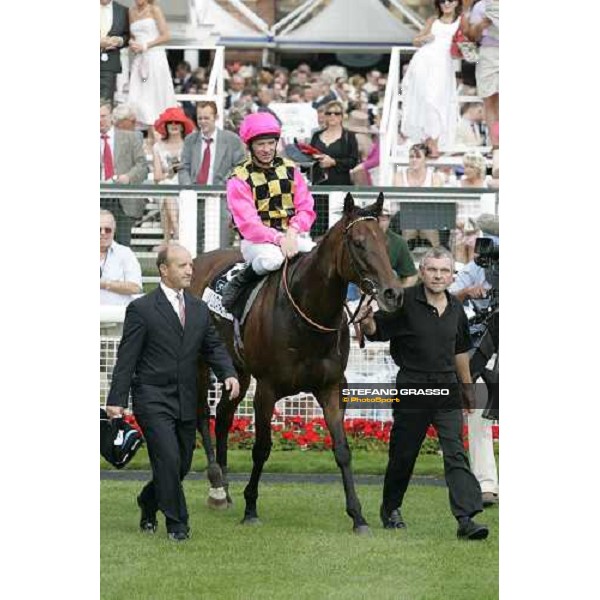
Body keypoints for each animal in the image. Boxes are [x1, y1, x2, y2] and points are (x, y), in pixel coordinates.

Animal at [190, 192, 400, 536]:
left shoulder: (331, 388)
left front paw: (357, 516)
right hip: (200, 362)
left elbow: (342, 450)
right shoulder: (267, 389)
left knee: (222, 416)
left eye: (384, 241)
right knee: (200, 415)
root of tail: (196, 263)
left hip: (239, 371)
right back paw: (217, 484)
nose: (393, 293)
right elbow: (262, 448)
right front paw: (251, 508)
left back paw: (224, 488)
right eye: (358, 243)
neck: (307, 313)